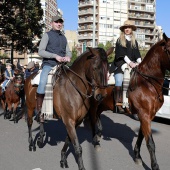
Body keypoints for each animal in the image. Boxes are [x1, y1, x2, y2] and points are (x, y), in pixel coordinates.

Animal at [87, 32, 170, 169]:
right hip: (94, 103)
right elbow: (150, 143)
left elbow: (141, 137)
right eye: (169, 49)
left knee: (97, 115)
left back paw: (98, 134)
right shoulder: (144, 115)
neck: (147, 83)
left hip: (103, 104)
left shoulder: (148, 116)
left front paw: (137, 156)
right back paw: (95, 140)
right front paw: (155, 166)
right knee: (93, 117)